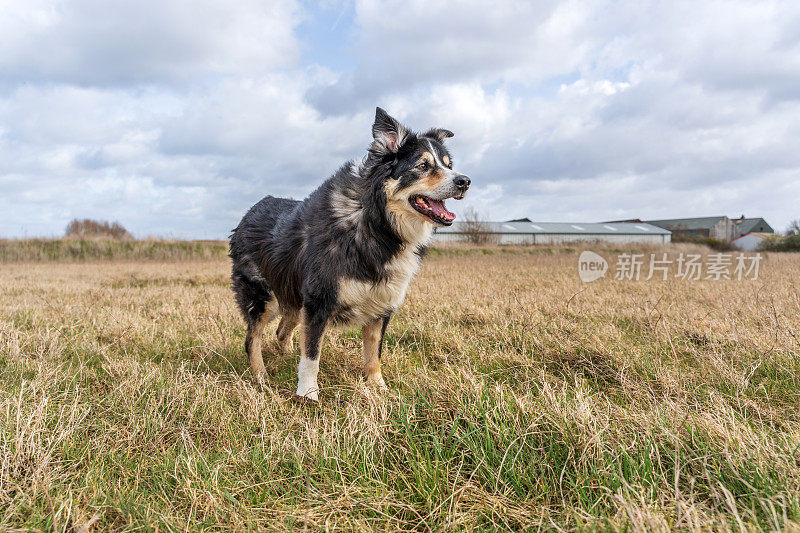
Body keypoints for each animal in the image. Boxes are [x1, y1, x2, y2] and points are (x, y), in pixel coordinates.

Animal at [228, 108, 468, 400]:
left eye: (448, 164)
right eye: (422, 166)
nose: (465, 181)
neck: (377, 222)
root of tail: (249, 213)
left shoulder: (382, 302)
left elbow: (373, 352)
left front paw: (378, 388)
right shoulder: (318, 300)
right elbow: (312, 354)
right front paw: (308, 394)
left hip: (293, 297)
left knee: (282, 330)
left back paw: (284, 359)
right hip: (264, 296)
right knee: (252, 339)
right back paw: (261, 377)